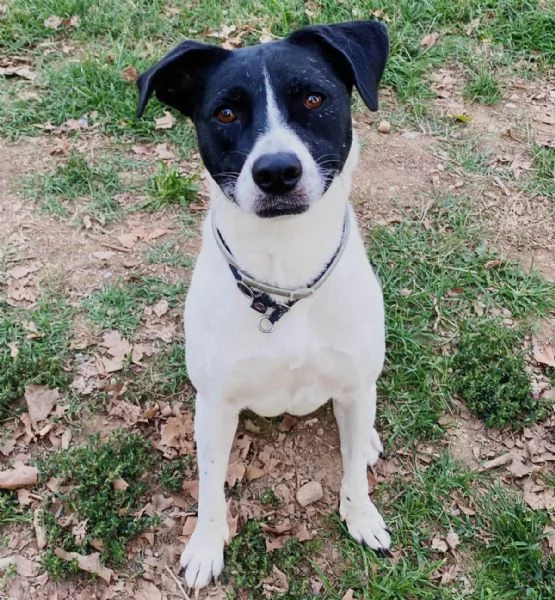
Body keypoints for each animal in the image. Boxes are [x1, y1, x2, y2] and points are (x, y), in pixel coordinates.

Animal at [137, 22, 390, 592]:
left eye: (314, 98)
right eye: (226, 113)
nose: (276, 171)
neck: (284, 277)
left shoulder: (353, 381)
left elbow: (352, 475)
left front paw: (361, 516)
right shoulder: (214, 404)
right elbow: (210, 487)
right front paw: (207, 546)